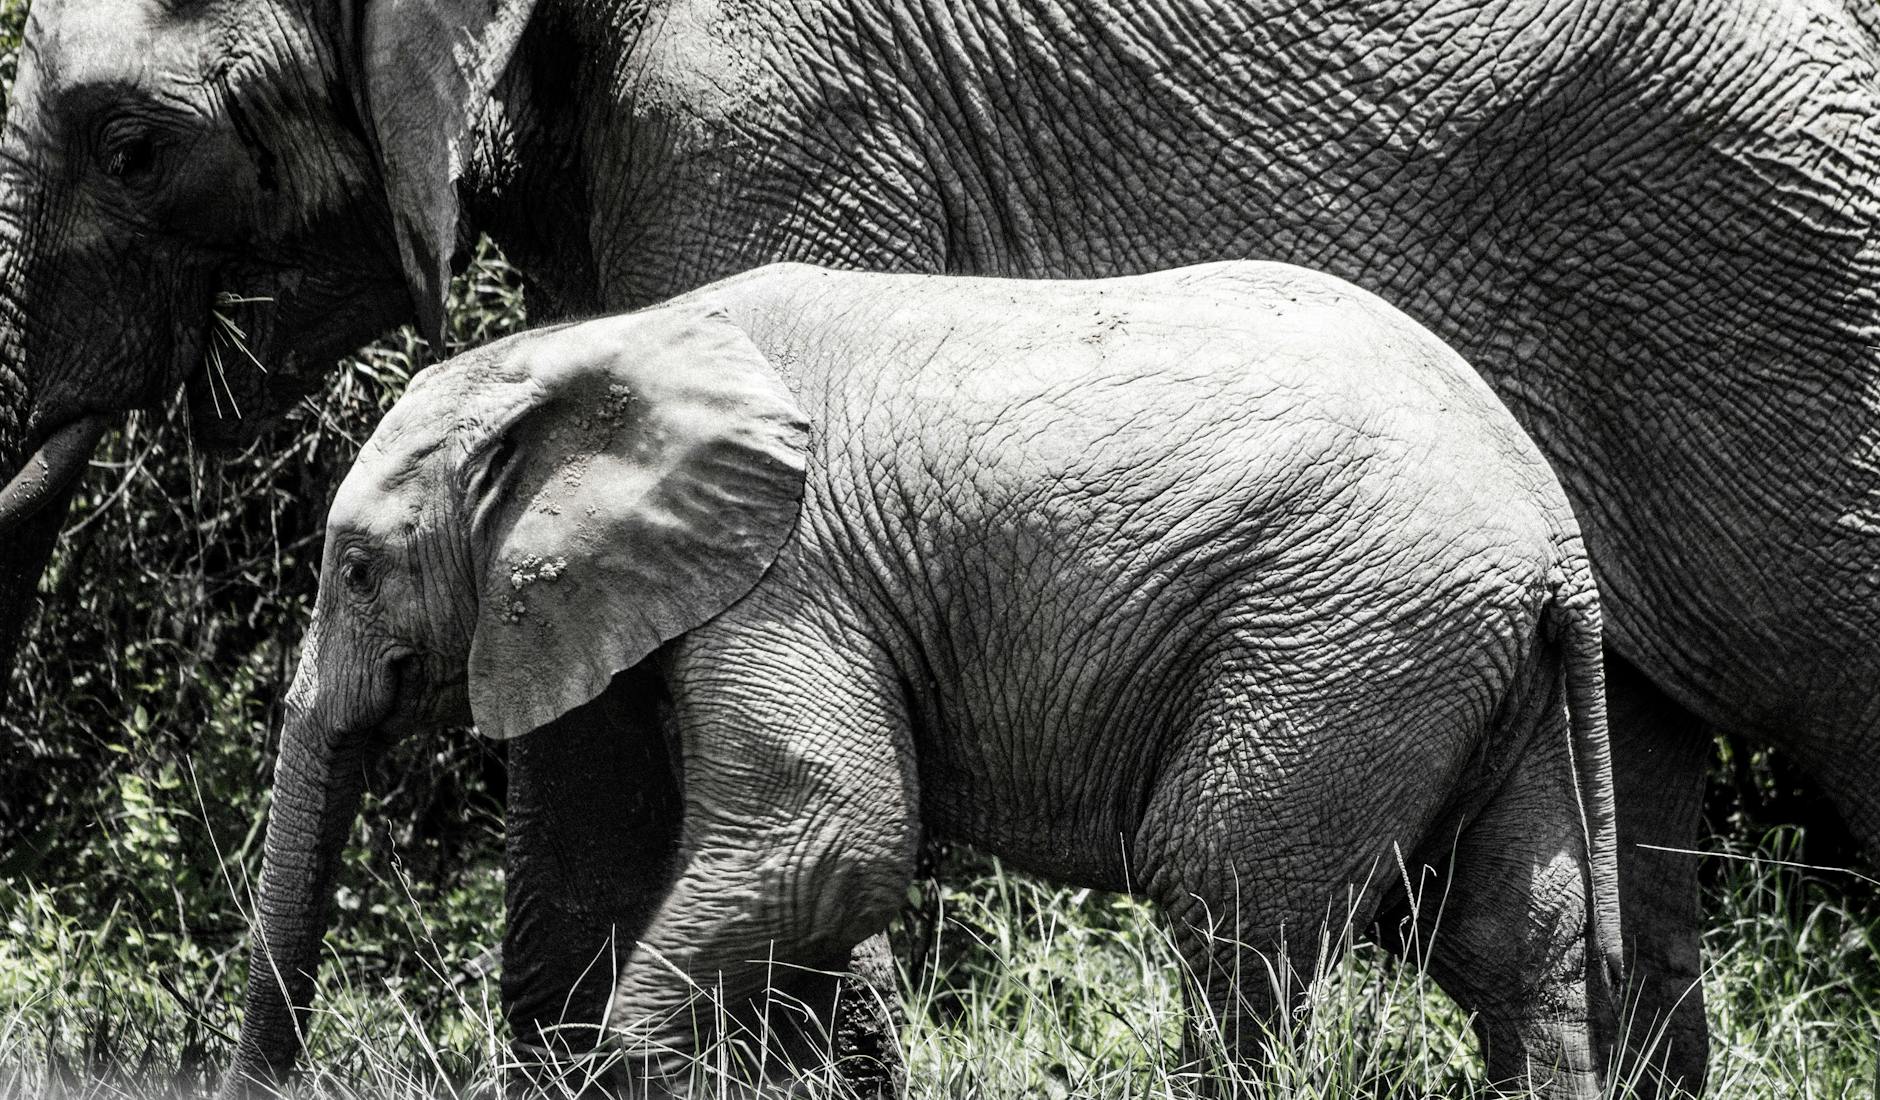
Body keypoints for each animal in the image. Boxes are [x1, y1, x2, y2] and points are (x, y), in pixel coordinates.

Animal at [224, 260, 1626, 1099]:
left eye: (356, 567)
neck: (595, 347)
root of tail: (1556, 529)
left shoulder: (788, 576)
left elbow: (828, 839)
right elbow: (779, 881)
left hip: (1344, 638)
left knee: (1229, 901)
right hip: (1450, 657)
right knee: (1513, 940)